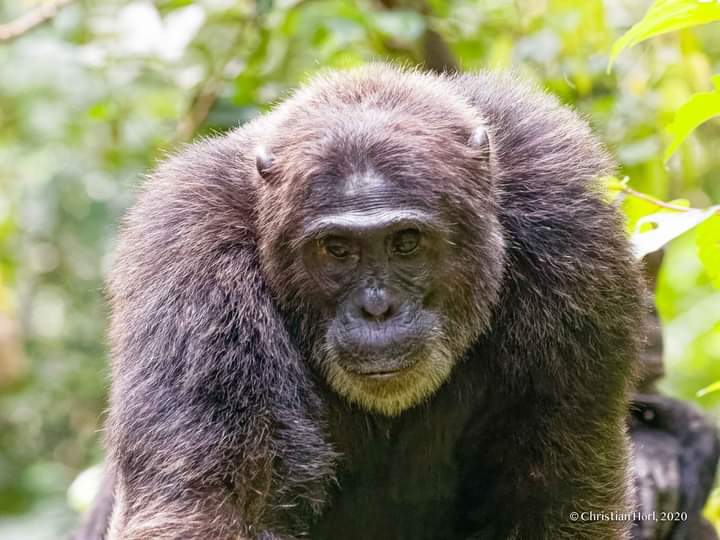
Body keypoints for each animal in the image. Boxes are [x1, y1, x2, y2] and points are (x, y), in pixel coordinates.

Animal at [76, 64, 646, 540]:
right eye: (337, 249)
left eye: (406, 242)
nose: (377, 308)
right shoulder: (186, 254)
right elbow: (216, 501)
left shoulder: (571, 221)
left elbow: (552, 486)